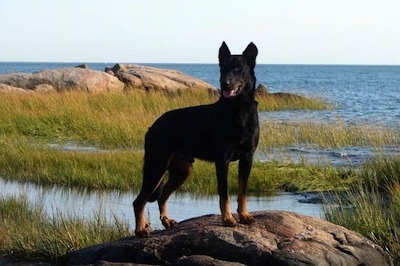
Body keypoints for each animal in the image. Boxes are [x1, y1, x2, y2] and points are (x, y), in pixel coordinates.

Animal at [134, 41, 260, 237]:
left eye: (238, 68)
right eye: (223, 68)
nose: (225, 84)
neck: (239, 110)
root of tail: (153, 126)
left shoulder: (247, 158)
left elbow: (242, 192)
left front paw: (244, 215)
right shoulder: (222, 160)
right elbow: (224, 194)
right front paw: (227, 219)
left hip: (182, 170)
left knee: (162, 196)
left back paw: (166, 221)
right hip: (156, 165)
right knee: (139, 201)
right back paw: (140, 229)